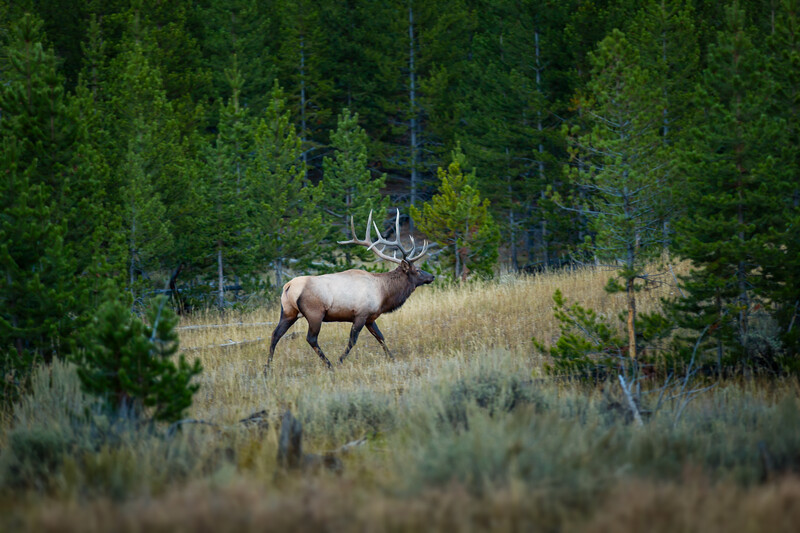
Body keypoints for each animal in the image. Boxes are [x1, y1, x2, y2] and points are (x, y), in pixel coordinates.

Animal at [268, 210, 434, 369]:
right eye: (417, 270)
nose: (432, 276)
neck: (383, 294)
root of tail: (288, 287)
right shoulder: (361, 314)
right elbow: (352, 341)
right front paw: (340, 361)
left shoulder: (370, 318)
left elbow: (381, 337)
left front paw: (392, 358)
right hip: (314, 313)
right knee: (311, 339)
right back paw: (330, 365)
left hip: (288, 312)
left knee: (275, 334)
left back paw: (267, 368)